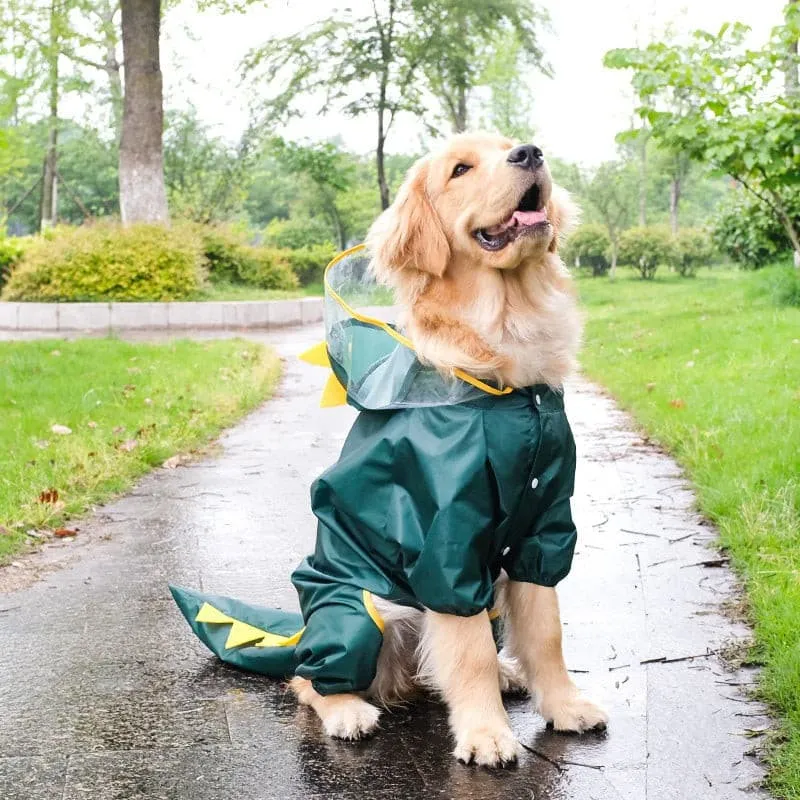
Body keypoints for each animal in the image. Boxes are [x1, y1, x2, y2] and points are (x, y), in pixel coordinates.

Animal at [288, 133, 608, 768]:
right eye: (460, 169)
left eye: (510, 146)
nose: (530, 153)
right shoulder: (445, 543)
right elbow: (469, 652)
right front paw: (486, 734)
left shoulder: (543, 528)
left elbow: (547, 633)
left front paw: (564, 705)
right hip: (352, 613)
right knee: (306, 678)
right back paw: (347, 711)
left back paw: (510, 676)